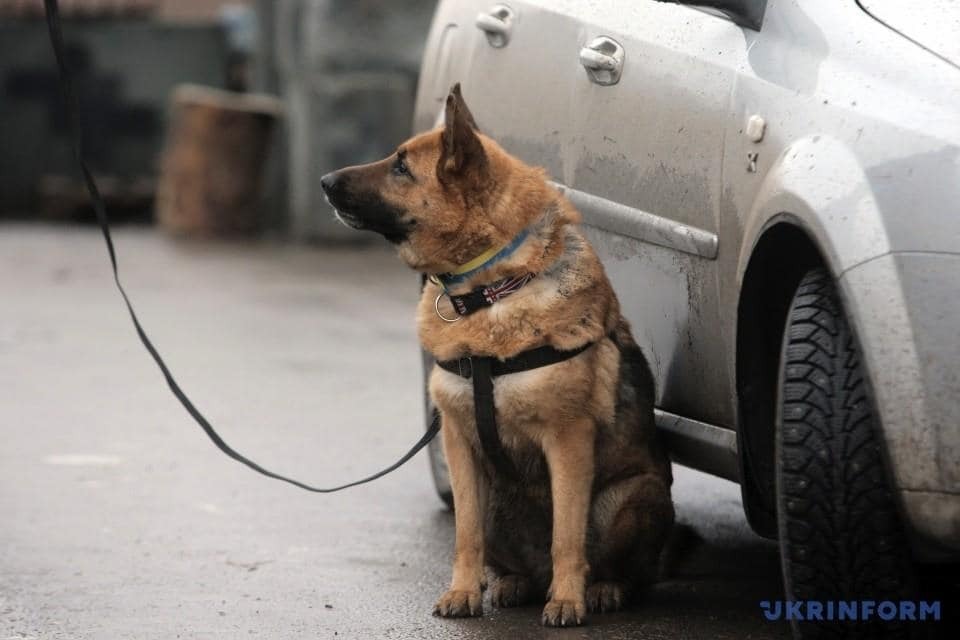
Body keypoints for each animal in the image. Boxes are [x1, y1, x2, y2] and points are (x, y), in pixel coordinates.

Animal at [318, 84, 672, 624]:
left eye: (402, 167)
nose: (323, 181)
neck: (491, 290)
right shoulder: (460, 445)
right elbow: (466, 533)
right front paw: (464, 591)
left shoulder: (568, 442)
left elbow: (567, 535)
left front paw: (567, 600)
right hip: (501, 499)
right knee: (508, 554)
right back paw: (513, 582)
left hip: (630, 496)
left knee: (629, 569)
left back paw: (600, 588)